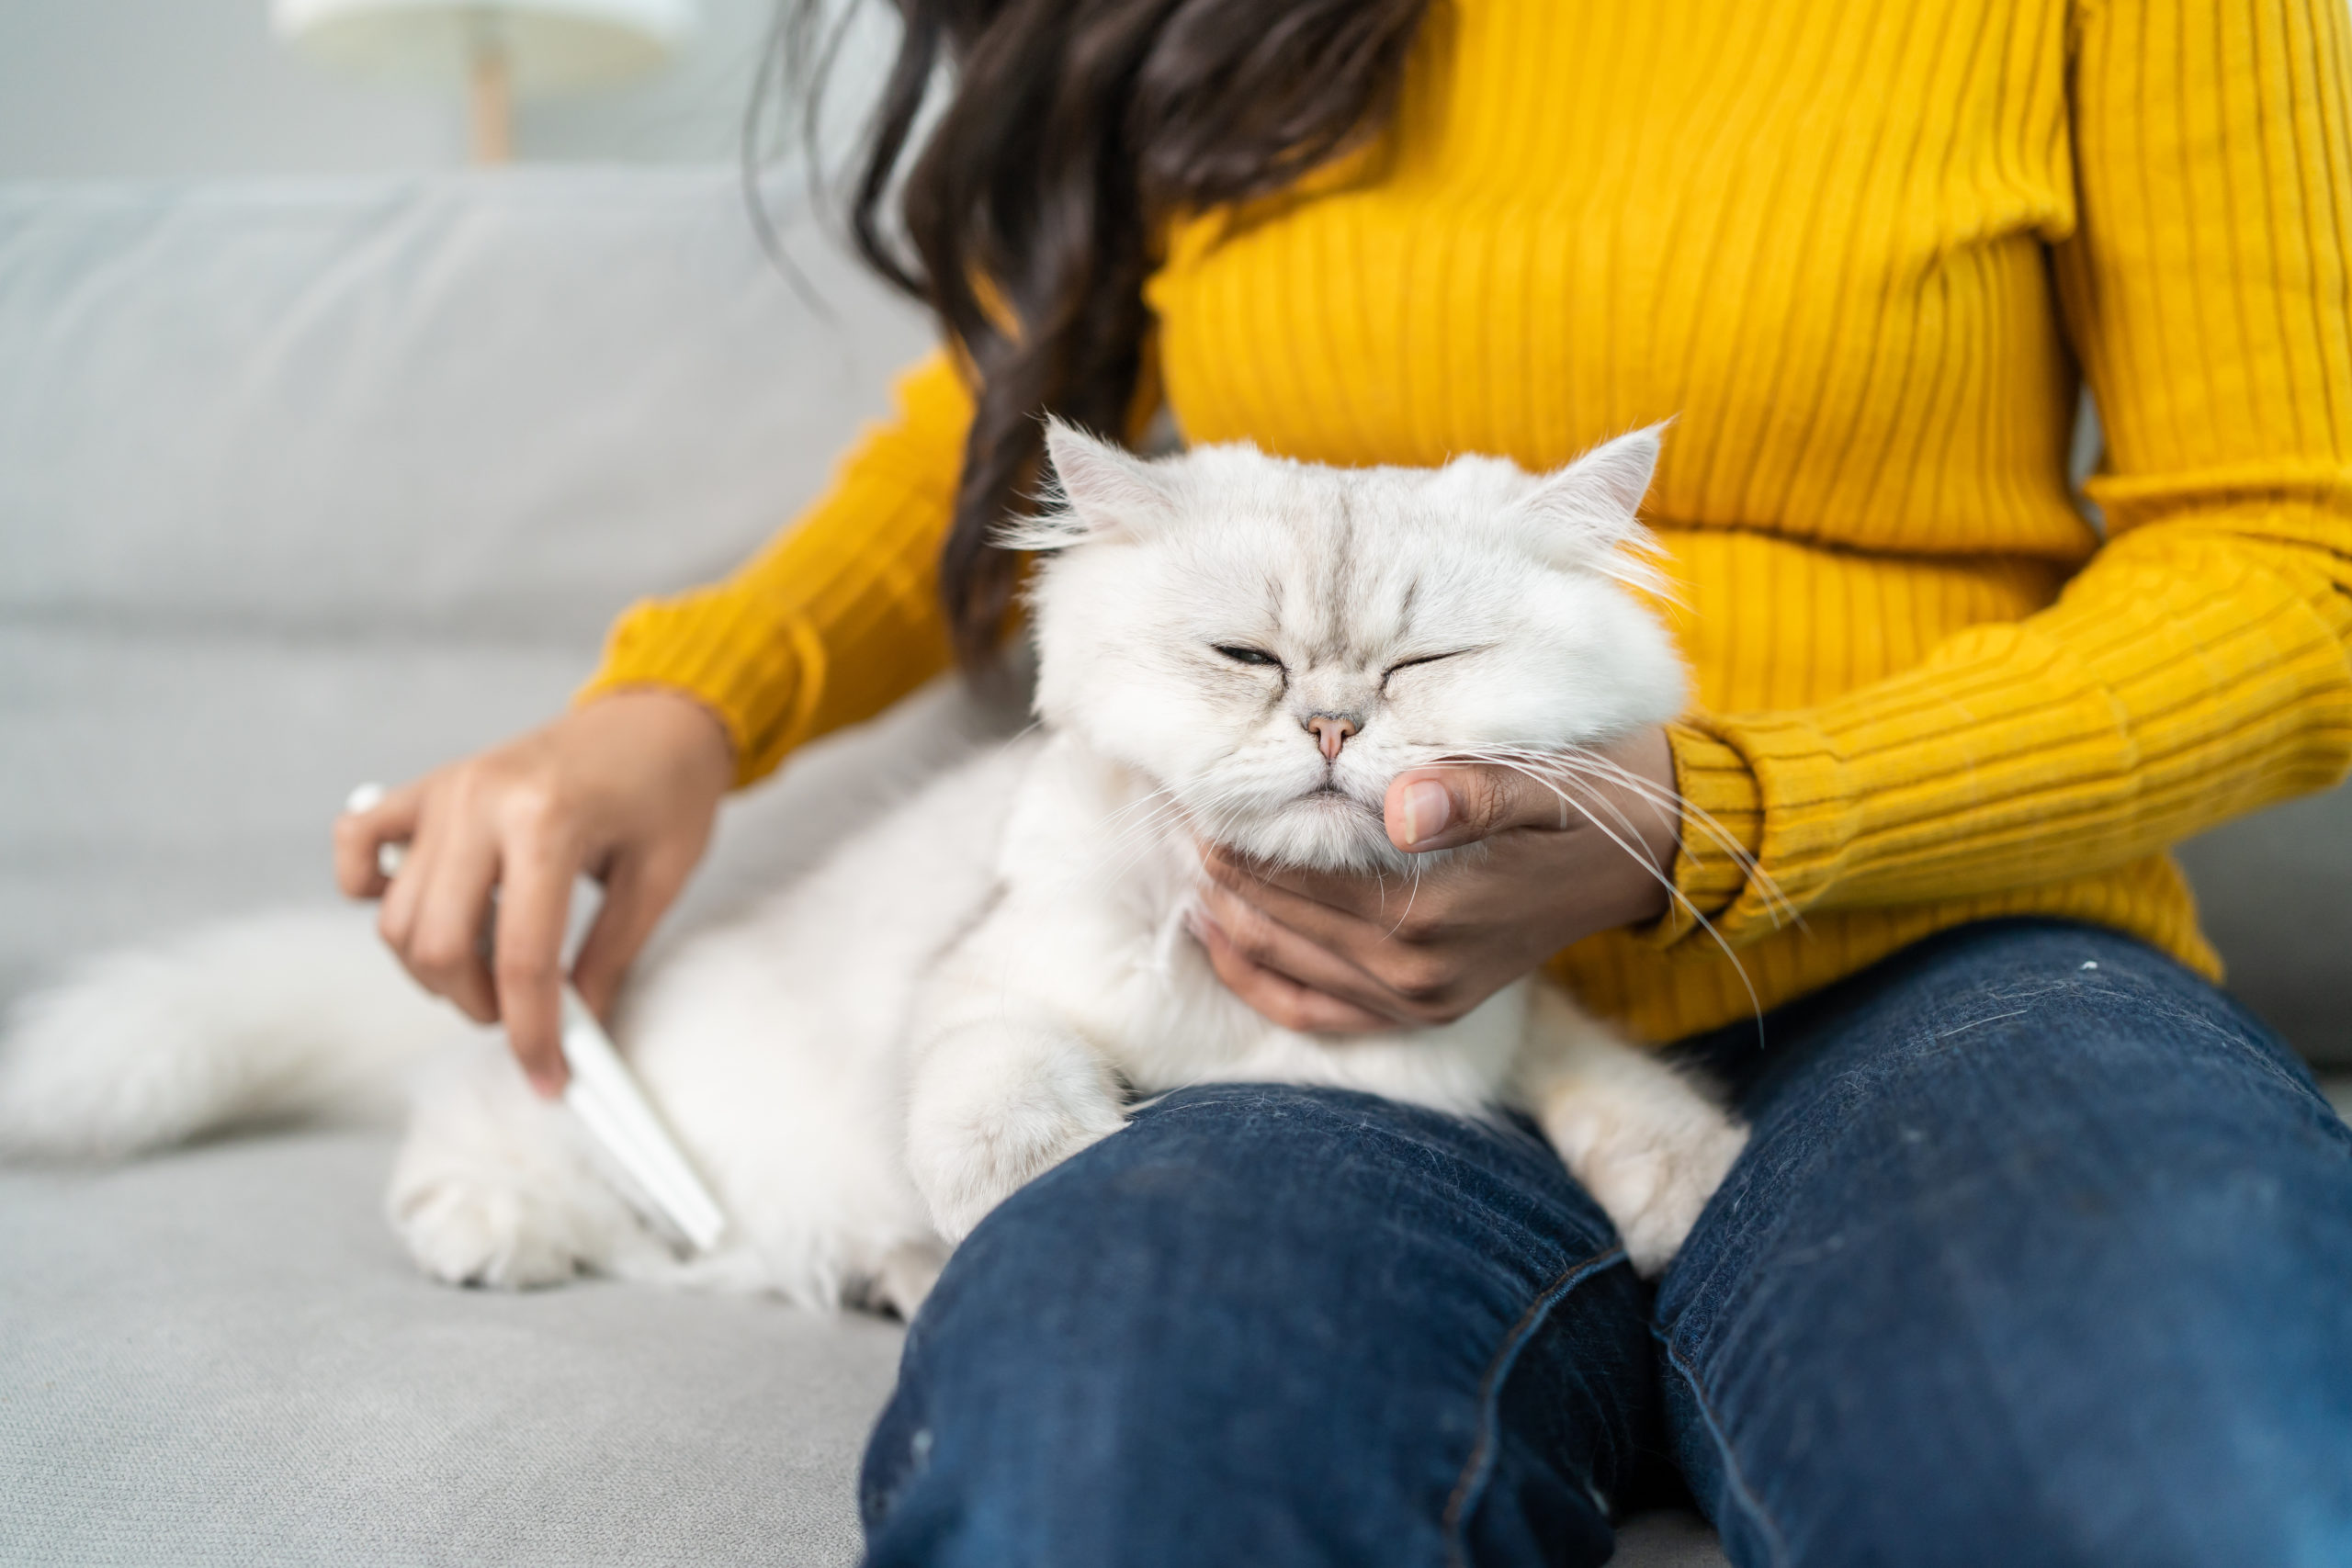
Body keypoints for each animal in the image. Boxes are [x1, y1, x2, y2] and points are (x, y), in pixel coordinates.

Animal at [0, 425, 1749, 1316]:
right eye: (1247, 659)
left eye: (1421, 667)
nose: (1331, 724)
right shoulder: (992, 978)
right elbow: (993, 1082)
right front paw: (1029, 1179)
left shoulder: (1498, 1018)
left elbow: (1602, 1073)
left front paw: (1684, 1188)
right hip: (638, 1097)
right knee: (499, 1109)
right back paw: (499, 1222)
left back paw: (892, 1278)